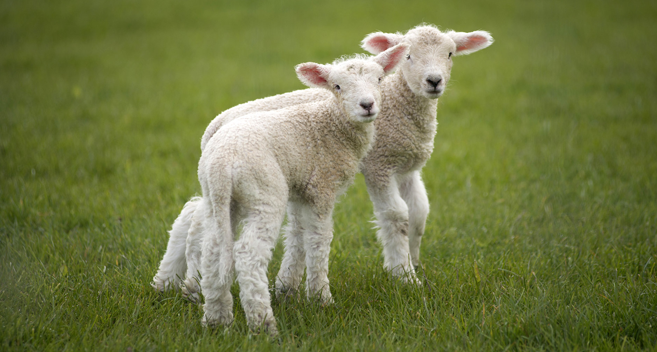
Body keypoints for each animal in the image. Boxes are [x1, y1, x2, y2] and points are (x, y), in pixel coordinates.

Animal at [152, 23, 492, 296]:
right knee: (199, 220)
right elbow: (396, 215)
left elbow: (419, 212)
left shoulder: (406, 167)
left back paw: (165, 282)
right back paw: (189, 283)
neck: (401, 105)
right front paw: (404, 276)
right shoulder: (379, 164)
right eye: (409, 56)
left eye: (450, 54)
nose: (434, 81)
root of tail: (214, 127)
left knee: (191, 213)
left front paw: (415, 263)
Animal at [184, 44, 408, 332]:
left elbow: (298, 236)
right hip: (264, 192)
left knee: (212, 251)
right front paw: (321, 298)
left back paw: (216, 320)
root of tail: (223, 163)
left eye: (379, 79)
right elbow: (318, 241)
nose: (367, 105)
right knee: (247, 254)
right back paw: (263, 324)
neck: (331, 124)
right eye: (337, 86)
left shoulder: (302, 191)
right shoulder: (322, 187)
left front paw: (289, 290)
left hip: (219, 200)